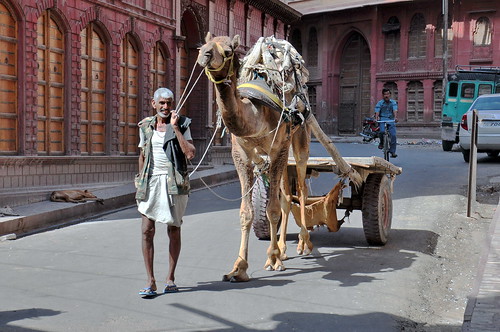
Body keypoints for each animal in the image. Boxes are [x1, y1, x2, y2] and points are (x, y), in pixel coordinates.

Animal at [195, 34, 360, 282]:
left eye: (228, 50)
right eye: (203, 45)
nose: (204, 56)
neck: (254, 113)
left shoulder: (278, 148)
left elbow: (272, 209)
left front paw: (272, 260)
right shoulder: (241, 154)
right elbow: (247, 212)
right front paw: (239, 267)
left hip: (299, 141)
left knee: (301, 189)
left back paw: (303, 243)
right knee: (286, 196)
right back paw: (282, 248)